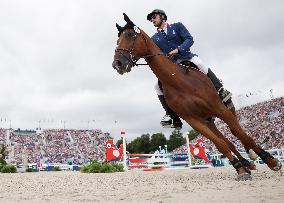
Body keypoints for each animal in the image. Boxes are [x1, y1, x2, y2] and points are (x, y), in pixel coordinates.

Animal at [112, 13, 280, 180]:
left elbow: (242, 135)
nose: (117, 64)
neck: (178, 82)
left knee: (235, 131)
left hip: (225, 110)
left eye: (130, 35)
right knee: (228, 141)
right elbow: (221, 144)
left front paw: (271, 161)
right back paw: (246, 164)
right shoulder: (194, 121)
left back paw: (252, 155)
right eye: (117, 40)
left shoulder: (219, 109)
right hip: (209, 121)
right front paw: (240, 169)